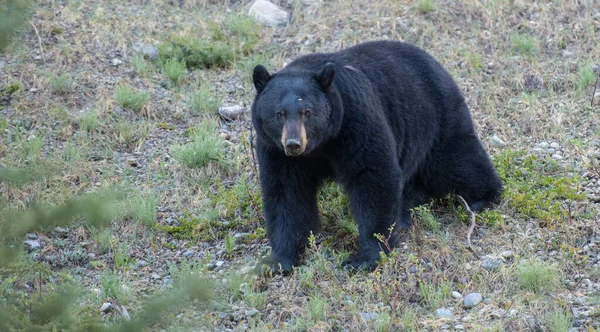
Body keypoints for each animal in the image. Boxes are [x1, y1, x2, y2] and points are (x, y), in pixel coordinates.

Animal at [251, 40, 504, 274]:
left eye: (307, 112)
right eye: (279, 114)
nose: (294, 144)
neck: (321, 144)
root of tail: (434, 61)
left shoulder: (355, 119)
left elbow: (373, 175)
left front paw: (365, 257)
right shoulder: (275, 149)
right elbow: (286, 193)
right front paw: (279, 260)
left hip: (435, 114)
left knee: (457, 159)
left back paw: (481, 197)